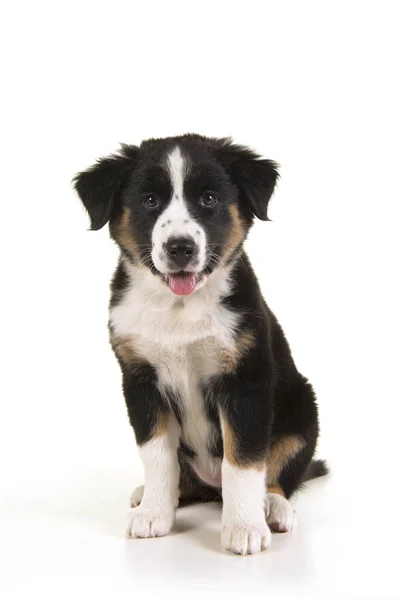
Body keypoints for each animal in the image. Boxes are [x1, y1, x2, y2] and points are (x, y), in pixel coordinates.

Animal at [73, 134, 326, 556]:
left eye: (208, 199)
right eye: (150, 201)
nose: (180, 248)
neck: (179, 308)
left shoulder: (245, 379)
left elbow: (244, 460)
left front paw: (244, 527)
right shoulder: (140, 380)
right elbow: (157, 454)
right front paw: (154, 514)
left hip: (303, 407)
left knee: (280, 472)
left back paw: (273, 507)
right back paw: (153, 495)